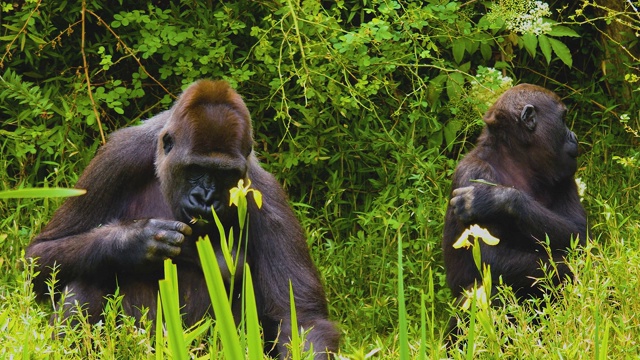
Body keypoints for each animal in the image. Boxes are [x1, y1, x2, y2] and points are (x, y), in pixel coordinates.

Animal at [27, 80, 340, 358]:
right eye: (196, 169)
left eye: (224, 174)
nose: (205, 198)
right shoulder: (118, 157)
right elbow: (39, 257)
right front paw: (133, 241)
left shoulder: (265, 193)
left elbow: (301, 318)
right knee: (87, 274)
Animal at [442, 83, 588, 334]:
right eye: (563, 119)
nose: (574, 136)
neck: (515, 159)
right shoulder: (473, 173)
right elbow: (492, 259)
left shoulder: (565, 174)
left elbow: (578, 232)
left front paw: (496, 199)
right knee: (486, 289)